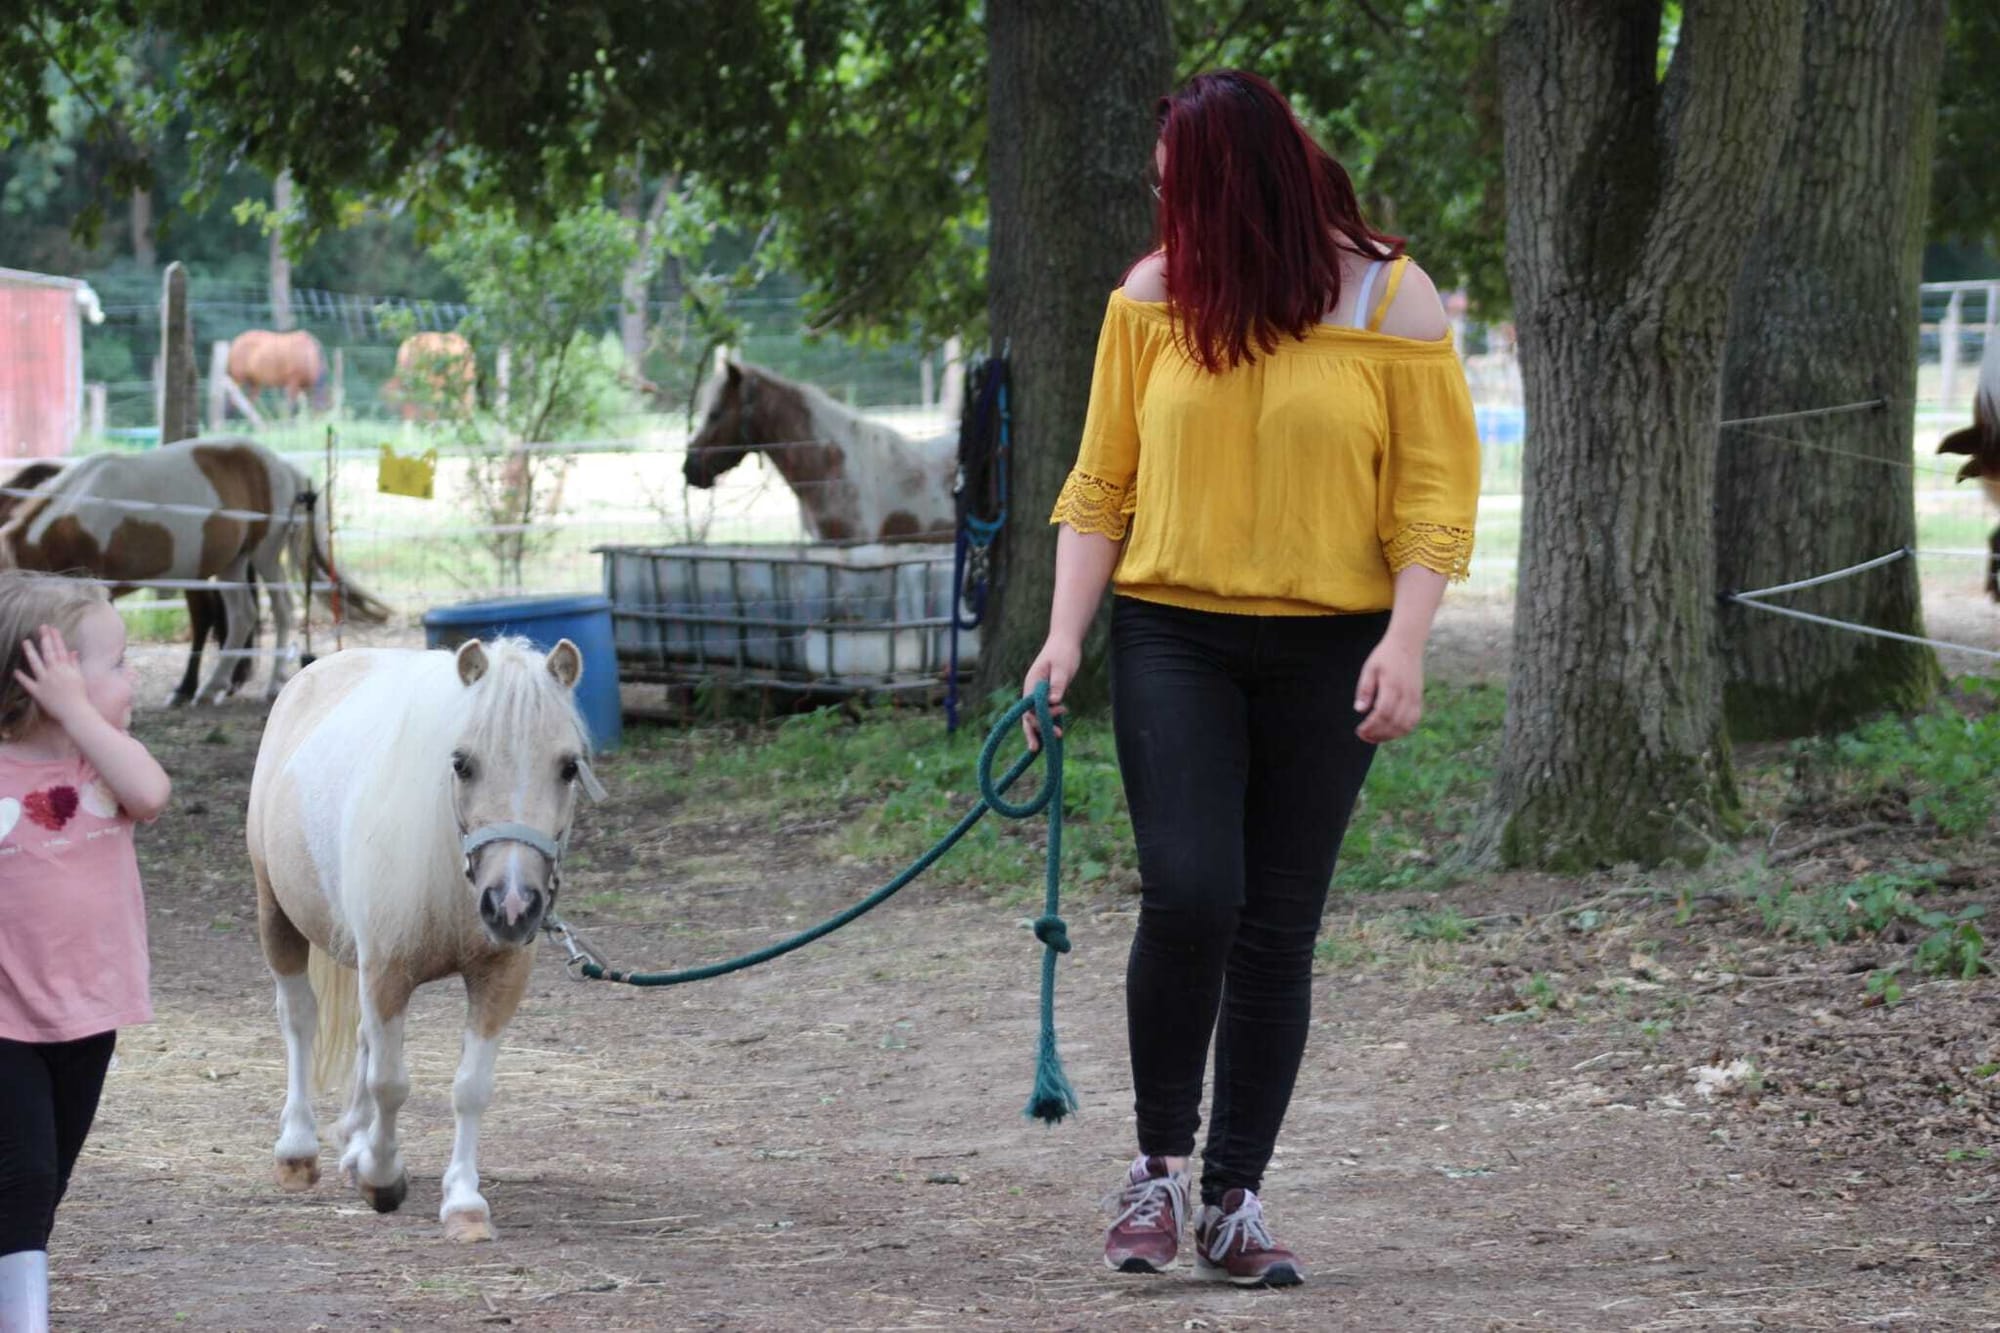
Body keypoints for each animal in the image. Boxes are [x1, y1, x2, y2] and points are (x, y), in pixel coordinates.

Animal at [0, 436, 390, 704]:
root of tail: (282, 467)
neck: (72, 522)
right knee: (243, 615)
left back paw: (271, 683)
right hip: (233, 564)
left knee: (282, 610)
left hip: (264, 556)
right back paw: (212, 686)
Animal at [243, 632, 592, 1232]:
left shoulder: (498, 977)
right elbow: (390, 1083)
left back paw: (353, 1144)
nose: (513, 905)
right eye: (462, 763)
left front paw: (464, 1201)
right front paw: (383, 1179)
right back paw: (298, 1149)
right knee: (300, 1018)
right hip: (278, 917)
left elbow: (470, 1088)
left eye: (568, 766)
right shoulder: (388, 972)